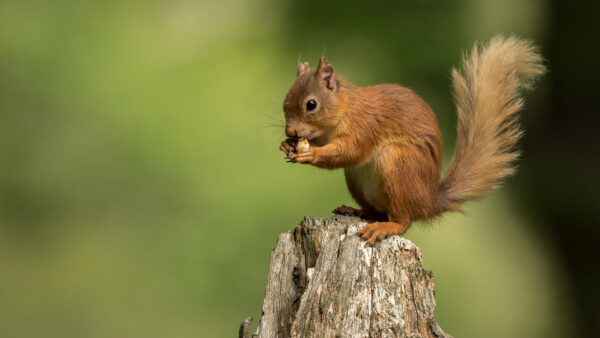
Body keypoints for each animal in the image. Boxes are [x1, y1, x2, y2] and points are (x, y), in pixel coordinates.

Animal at [278, 35, 548, 244]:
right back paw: (355, 210)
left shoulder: (365, 126)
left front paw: (309, 153)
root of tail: (429, 201)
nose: (291, 132)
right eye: (284, 103)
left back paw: (386, 227)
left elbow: (350, 151)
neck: (344, 109)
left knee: (403, 220)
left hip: (398, 167)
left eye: (311, 104)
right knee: (377, 211)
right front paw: (286, 145)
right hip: (357, 179)